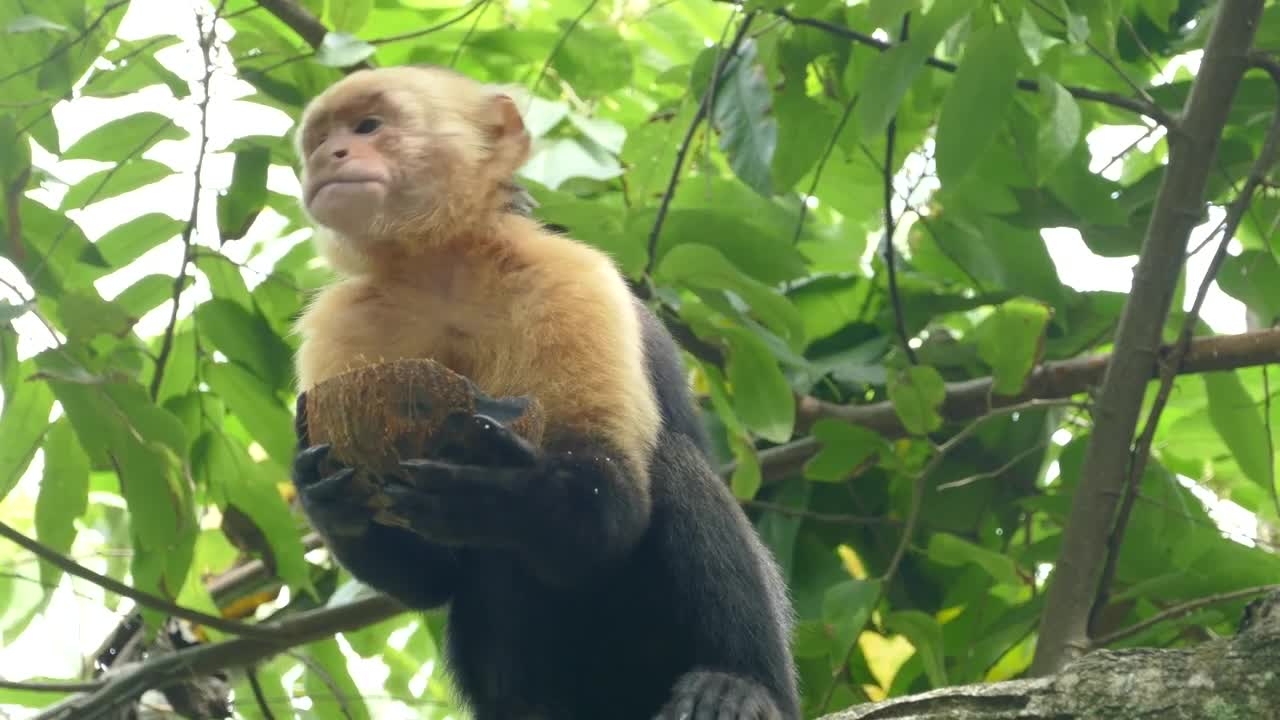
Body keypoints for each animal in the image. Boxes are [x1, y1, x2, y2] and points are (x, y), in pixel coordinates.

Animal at [288, 65, 799, 720]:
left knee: (673, 467)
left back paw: (740, 682)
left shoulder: (569, 277)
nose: (329, 157)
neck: (441, 268)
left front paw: (500, 496)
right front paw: (325, 496)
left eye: (368, 126)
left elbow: (613, 507)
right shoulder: (341, 326)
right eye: (318, 142)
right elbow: (432, 579)